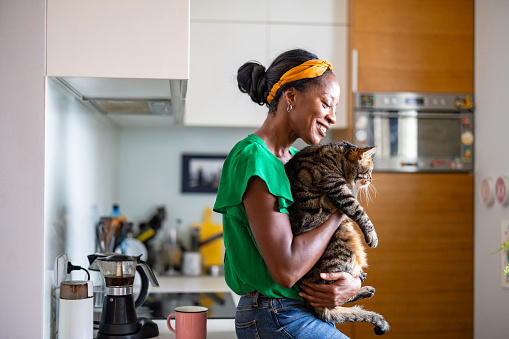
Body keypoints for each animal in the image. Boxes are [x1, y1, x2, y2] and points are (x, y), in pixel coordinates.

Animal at [284, 141, 386, 338]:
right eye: (369, 171)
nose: (370, 180)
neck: (337, 156)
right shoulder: (339, 190)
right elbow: (360, 211)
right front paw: (372, 236)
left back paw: (365, 287)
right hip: (343, 237)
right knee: (335, 300)